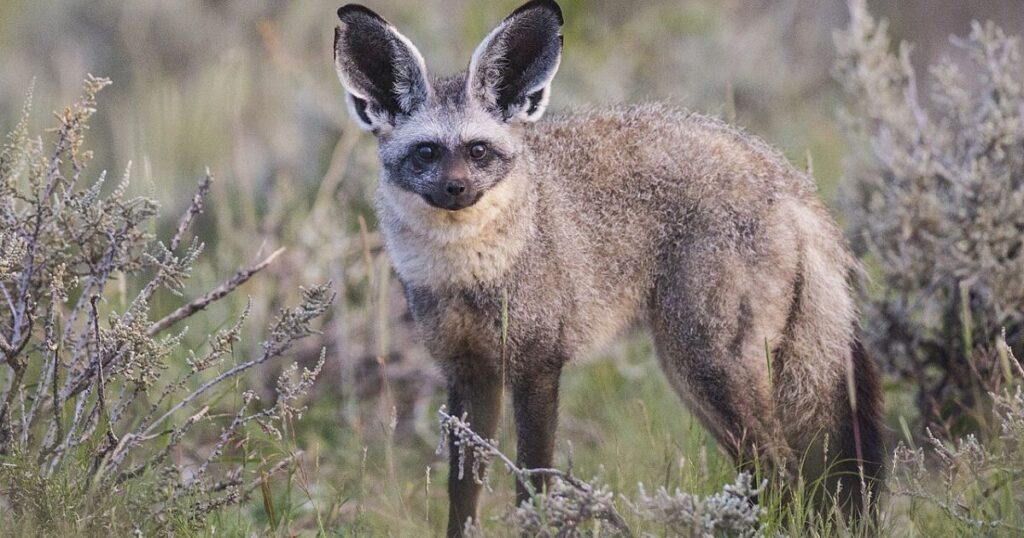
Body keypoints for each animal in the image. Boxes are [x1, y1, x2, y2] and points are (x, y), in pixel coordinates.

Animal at [332, 0, 884, 534]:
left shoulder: (537, 366)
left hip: (707, 366)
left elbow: (533, 485)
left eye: (478, 151)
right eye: (426, 152)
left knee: (782, 471)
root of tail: (786, 177)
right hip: (698, 377)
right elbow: (463, 495)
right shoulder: (469, 373)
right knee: (768, 476)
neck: (470, 273)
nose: (456, 189)